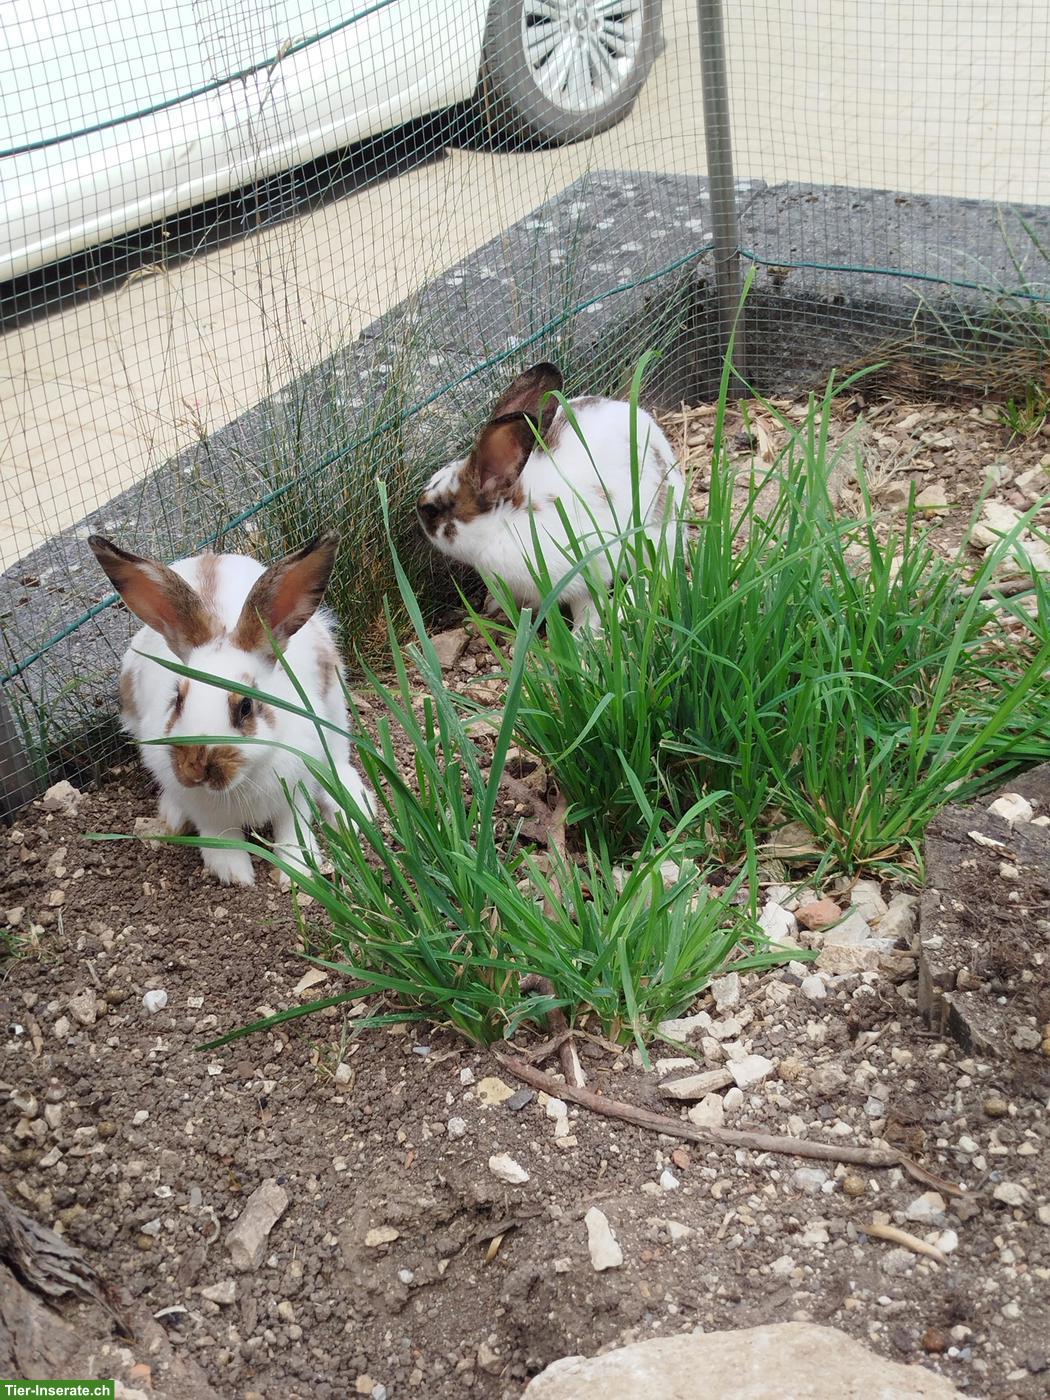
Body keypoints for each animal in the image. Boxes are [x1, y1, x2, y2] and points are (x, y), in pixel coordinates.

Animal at [89, 531, 371, 887]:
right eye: (177, 700)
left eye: (245, 707)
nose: (195, 769)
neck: (242, 781)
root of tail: (212, 557)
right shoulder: (206, 811)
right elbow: (220, 838)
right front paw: (235, 873)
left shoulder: (294, 788)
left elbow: (292, 829)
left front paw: (297, 870)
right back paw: (173, 814)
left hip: (333, 699)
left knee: (338, 754)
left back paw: (352, 804)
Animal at [416, 363, 685, 629]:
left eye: (432, 510)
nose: (418, 511)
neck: (503, 524)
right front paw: (494, 607)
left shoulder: (585, 575)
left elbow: (589, 609)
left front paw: (581, 636)